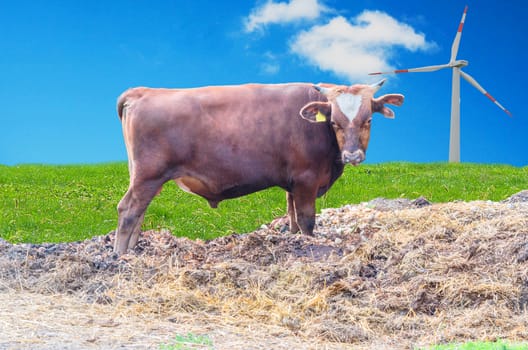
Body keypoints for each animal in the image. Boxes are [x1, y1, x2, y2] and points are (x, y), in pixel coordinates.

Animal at [114, 80, 404, 253]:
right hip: (148, 175)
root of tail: (144, 91)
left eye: (368, 120)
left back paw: (132, 252)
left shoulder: (293, 183)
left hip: (144, 178)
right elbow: (307, 220)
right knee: (128, 211)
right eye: (334, 122)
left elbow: (292, 217)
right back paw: (120, 256)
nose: (352, 155)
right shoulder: (307, 179)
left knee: (138, 213)